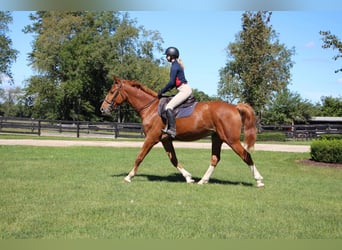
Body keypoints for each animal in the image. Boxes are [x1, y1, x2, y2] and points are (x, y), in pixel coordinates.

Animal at [99, 76, 264, 188]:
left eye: (112, 91)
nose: (102, 109)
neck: (151, 108)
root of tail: (235, 107)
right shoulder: (165, 139)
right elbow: (173, 159)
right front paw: (188, 177)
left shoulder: (151, 138)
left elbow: (139, 157)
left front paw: (129, 176)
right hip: (217, 138)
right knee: (215, 159)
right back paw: (202, 180)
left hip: (231, 140)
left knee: (246, 155)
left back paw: (259, 180)